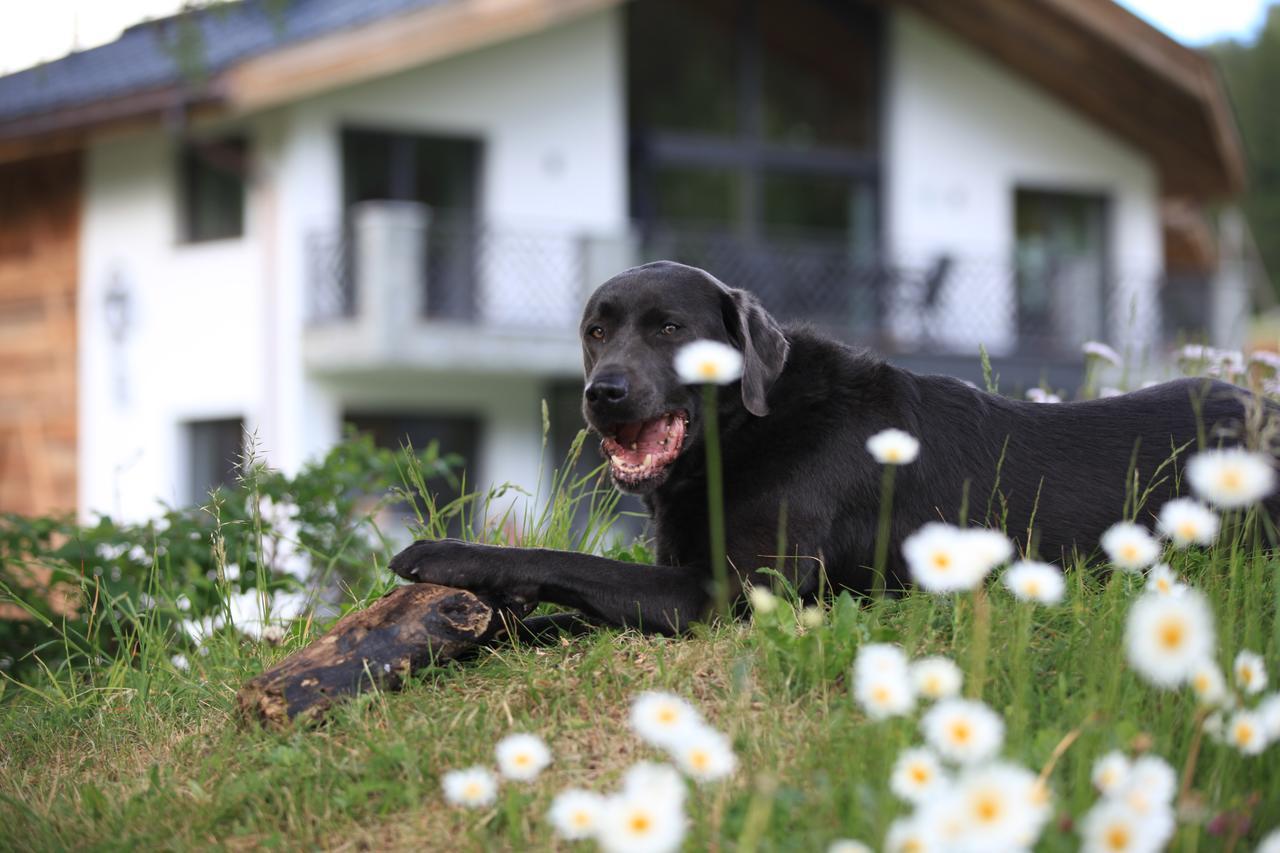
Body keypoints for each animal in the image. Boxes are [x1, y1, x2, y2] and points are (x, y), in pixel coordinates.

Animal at [394, 258, 1274, 630]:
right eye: (596, 330)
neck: (749, 429)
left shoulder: (725, 595)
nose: (600, 394)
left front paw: (444, 554)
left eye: (670, 329)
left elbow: (568, 561)